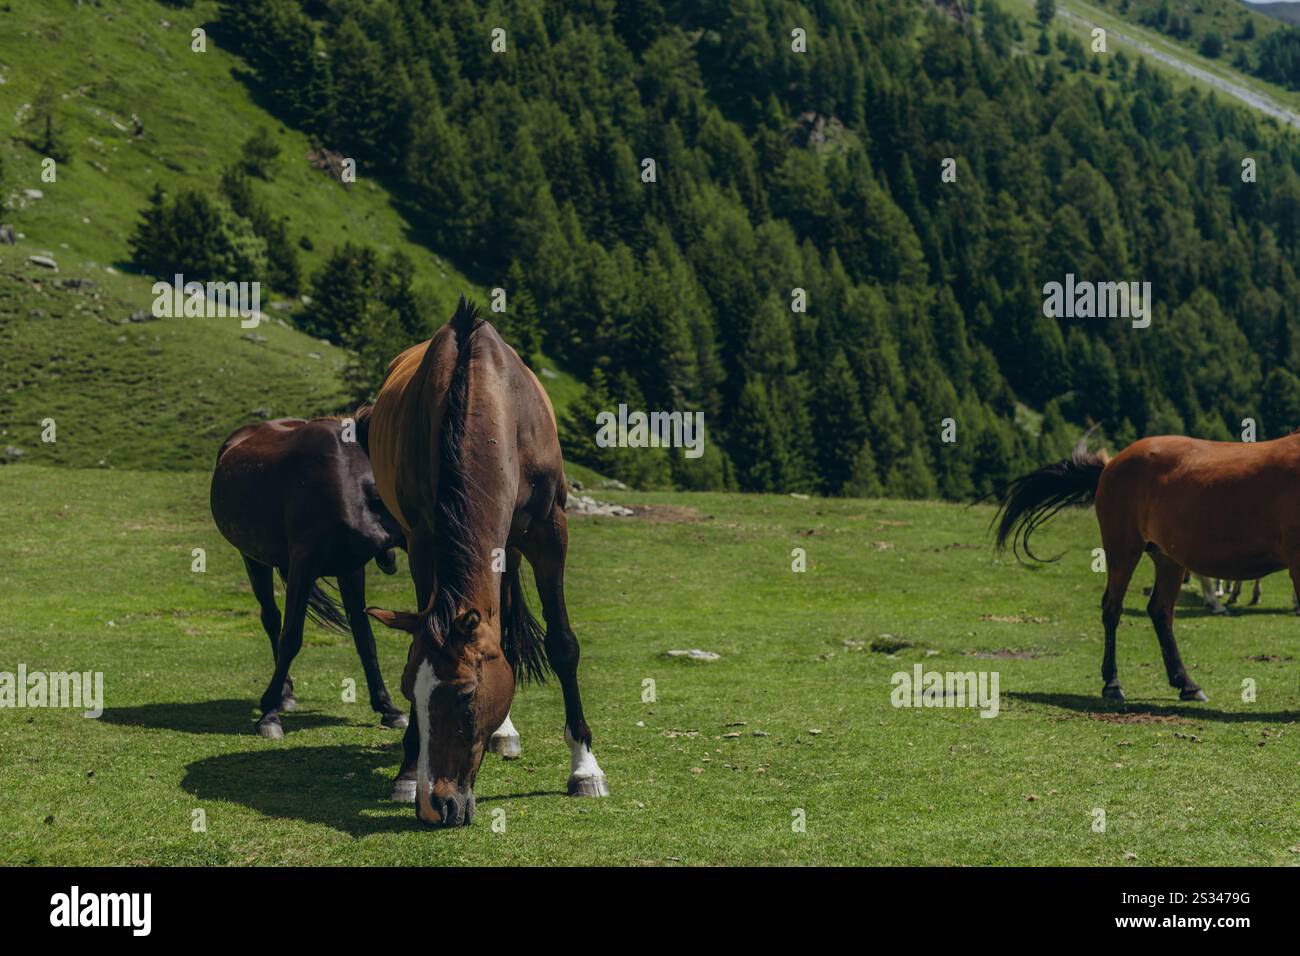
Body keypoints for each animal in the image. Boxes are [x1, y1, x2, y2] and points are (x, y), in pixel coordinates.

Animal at [210, 411, 408, 738]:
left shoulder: (351, 568)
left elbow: (365, 637)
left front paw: (388, 708)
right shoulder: (304, 563)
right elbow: (290, 637)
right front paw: (269, 714)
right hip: (253, 557)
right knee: (272, 619)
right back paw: (283, 694)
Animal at [365, 296, 608, 827]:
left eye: (464, 696)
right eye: (409, 691)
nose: (435, 806)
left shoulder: (550, 532)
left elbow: (562, 644)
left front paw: (584, 767)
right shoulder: (422, 542)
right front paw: (407, 772)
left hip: (512, 548)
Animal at [992, 431, 1300, 703]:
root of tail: (1112, 464)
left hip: (1169, 560)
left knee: (1160, 611)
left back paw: (1186, 683)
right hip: (1123, 549)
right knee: (1112, 608)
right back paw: (1113, 684)